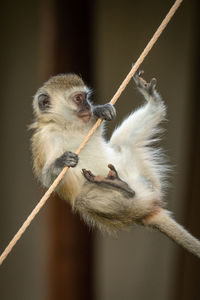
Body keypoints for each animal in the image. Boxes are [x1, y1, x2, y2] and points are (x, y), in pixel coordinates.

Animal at [30, 71, 200, 258]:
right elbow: (48, 180)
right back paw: (120, 186)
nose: (88, 106)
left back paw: (154, 103)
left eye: (86, 98)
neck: (67, 126)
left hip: (138, 169)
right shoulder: (45, 140)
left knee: (123, 141)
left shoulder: (87, 125)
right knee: (84, 199)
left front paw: (99, 110)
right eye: (78, 98)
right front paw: (62, 162)